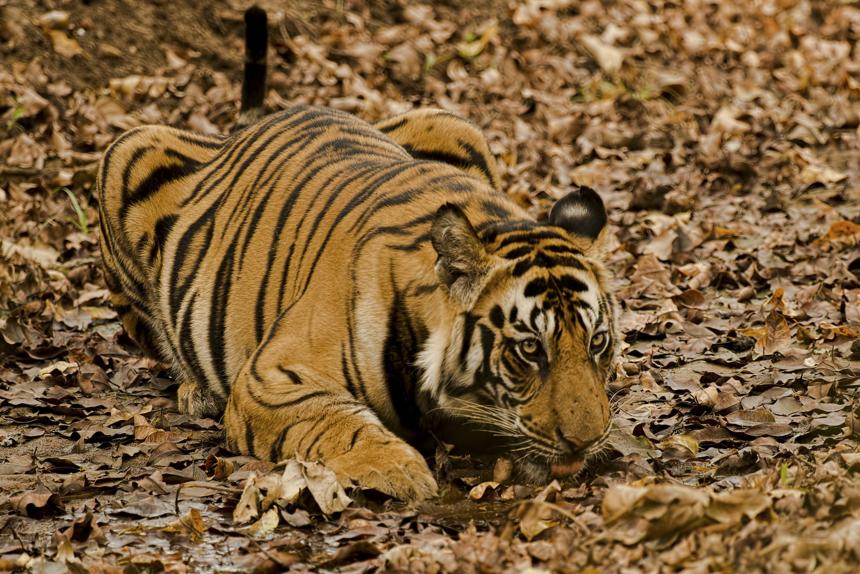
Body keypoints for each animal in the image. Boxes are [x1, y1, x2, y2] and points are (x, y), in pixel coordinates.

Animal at [95, 6, 620, 502]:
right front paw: (400, 470)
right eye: (530, 349)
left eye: (597, 342)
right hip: (126, 149)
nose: (588, 441)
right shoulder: (269, 378)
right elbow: (335, 421)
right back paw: (195, 390)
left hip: (450, 121)